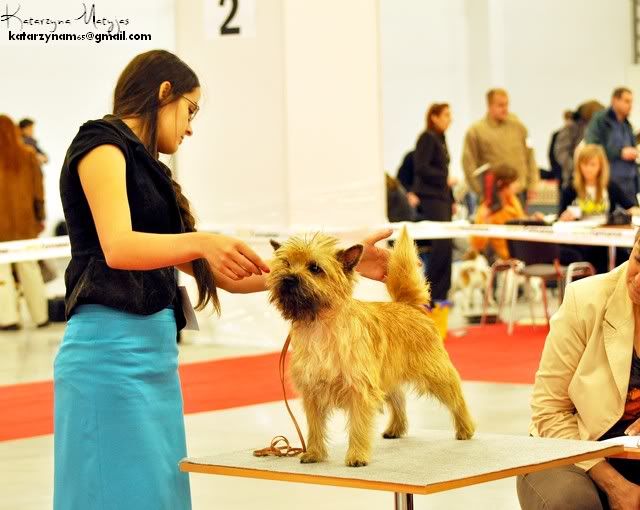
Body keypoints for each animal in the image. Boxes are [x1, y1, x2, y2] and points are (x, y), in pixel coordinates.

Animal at [267, 227, 475, 467]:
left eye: (315, 268)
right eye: (286, 263)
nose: (288, 279)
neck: (319, 324)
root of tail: (408, 305)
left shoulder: (360, 388)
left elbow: (358, 426)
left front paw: (357, 456)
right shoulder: (312, 391)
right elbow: (315, 426)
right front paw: (314, 453)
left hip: (436, 373)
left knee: (457, 398)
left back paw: (465, 428)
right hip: (388, 374)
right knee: (399, 399)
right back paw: (396, 428)